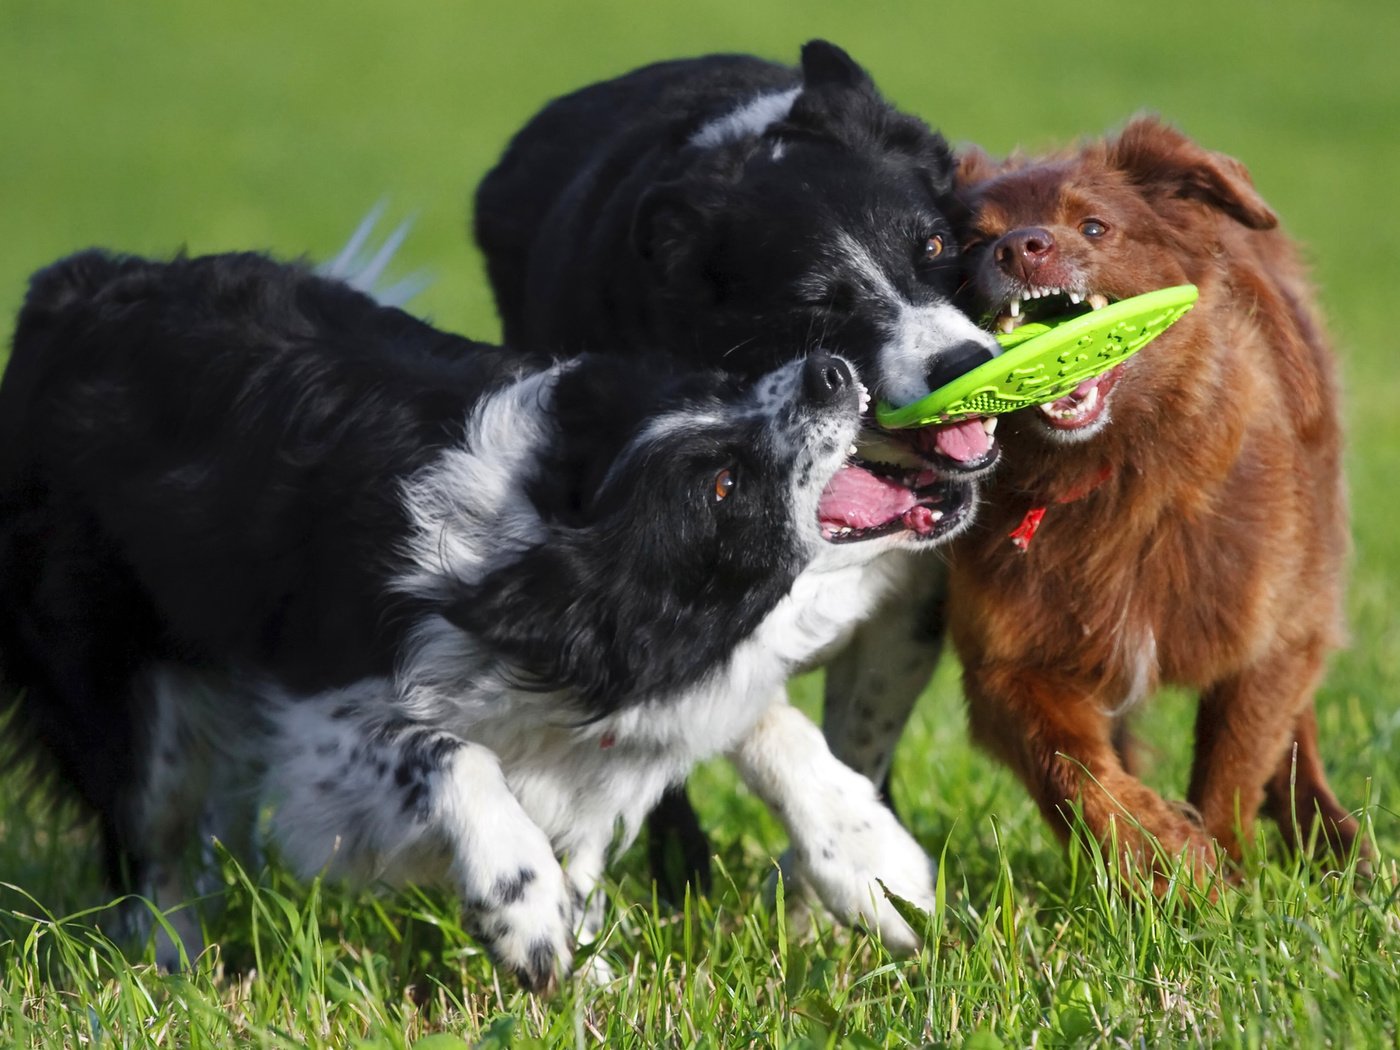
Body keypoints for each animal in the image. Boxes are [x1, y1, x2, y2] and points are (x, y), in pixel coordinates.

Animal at [0, 250, 963, 991]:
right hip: (122, 691)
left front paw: (878, 867)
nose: (831, 372)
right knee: (150, 837)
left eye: (719, 382)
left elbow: (765, 721)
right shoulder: (324, 728)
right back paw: (174, 964)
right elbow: (450, 755)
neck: (545, 521)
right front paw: (528, 918)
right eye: (722, 487)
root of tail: (63, 288)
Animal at [476, 35, 1002, 890]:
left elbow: (861, 740)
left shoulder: (906, 606)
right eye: (818, 301)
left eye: (933, 245)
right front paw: (852, 861)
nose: (965, 364)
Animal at [952, 114, 1366, 890]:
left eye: (1094, 226)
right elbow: (1075, 771)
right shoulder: (1011, 658)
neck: (1116, 471)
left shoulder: (1265, 625)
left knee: (1297, 724)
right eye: (966, 243)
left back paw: (1332, 839)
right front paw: (1167, 857)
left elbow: (1234, 760)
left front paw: (1225, 874)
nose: (1020, 247)